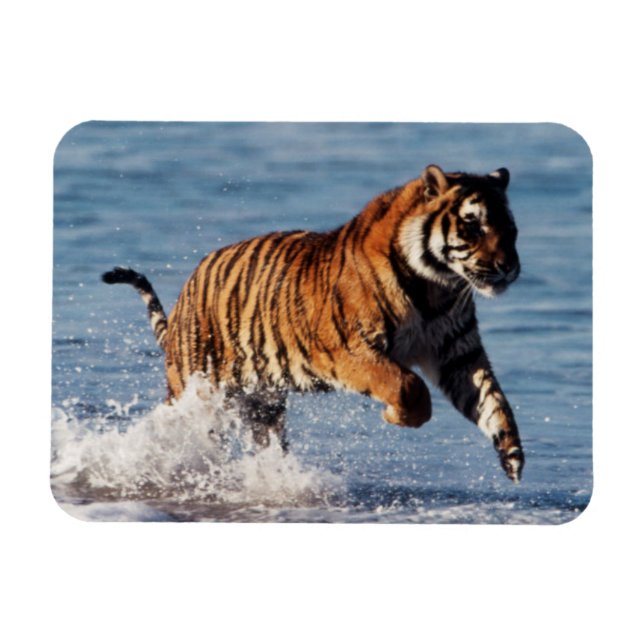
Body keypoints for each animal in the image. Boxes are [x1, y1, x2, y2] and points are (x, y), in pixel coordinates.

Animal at [102, 164, 524, 482]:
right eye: (473, 226)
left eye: (511, 229)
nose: (509, 268)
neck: (436, 287)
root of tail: (185, 294)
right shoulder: (352, 350)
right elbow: (408, 386)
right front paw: (396, 415)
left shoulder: (458, 353)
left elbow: (493, 400)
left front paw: (512, 455)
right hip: (199, 393)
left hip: (262, 405)